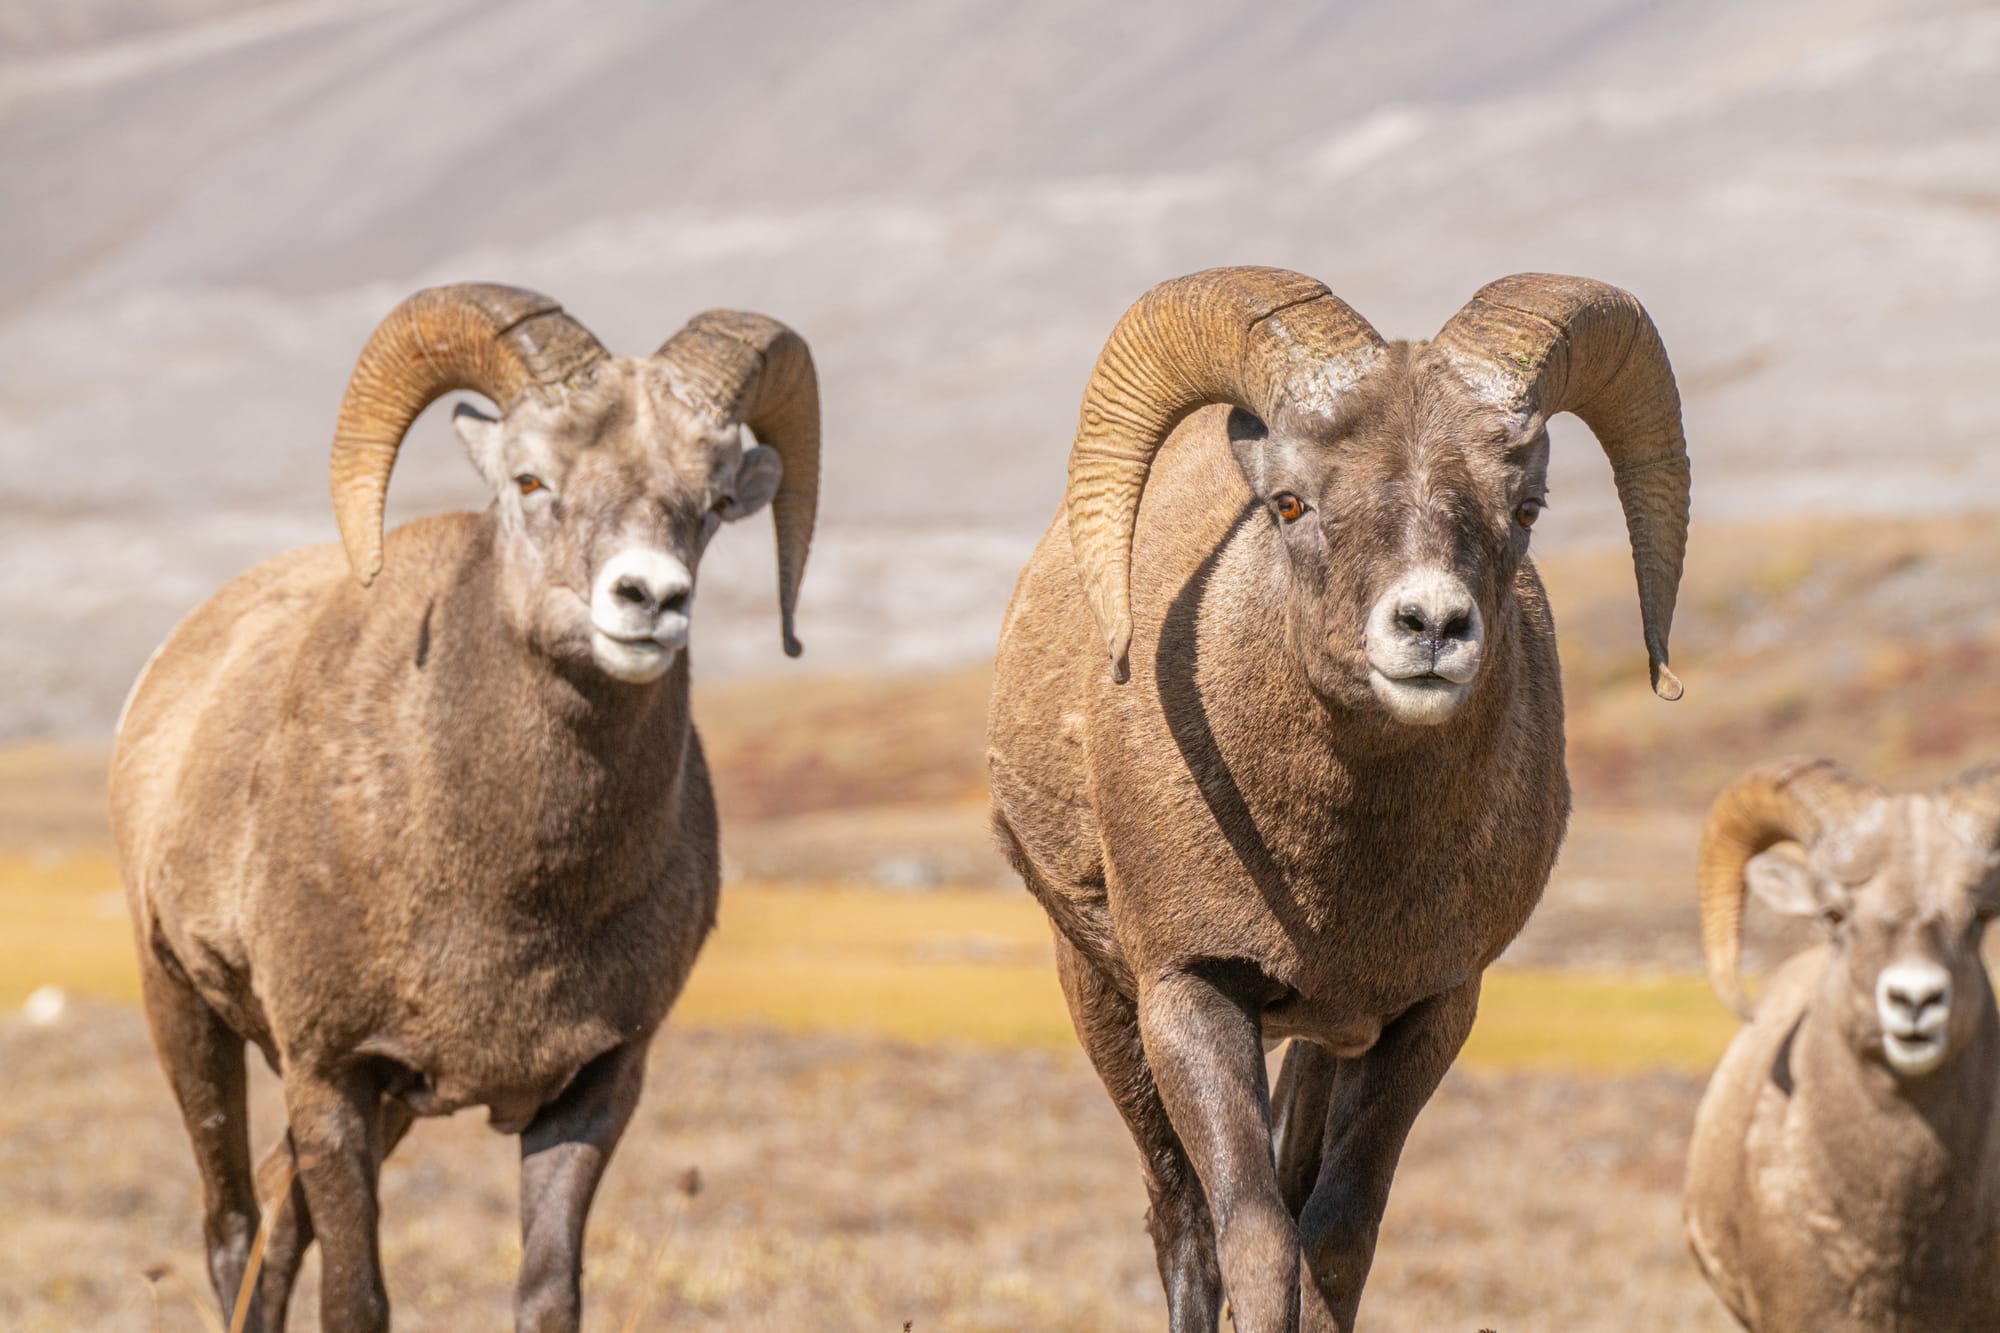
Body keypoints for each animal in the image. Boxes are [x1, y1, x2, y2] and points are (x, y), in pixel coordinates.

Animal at [108, 283, 820, 1333]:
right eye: (529, 480)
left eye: (715, 503)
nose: (650, 599)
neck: (510, 894)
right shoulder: (334, 1075)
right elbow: (355, 1300)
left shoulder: (595, 1085)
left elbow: (547, 1292)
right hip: (184, 1010)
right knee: (234, 1224)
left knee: (275, 1214)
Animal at [986, 266, 1692, 1332]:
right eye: (1290, 502)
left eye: (1526, 506)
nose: (1431, 625)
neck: (1334, 874)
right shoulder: (1190, 992)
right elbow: (1251, 1237)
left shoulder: (1425, 1013)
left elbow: (1336, 1235)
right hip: (1105, 998)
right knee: (1180, 1221)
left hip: (1319, 1038)